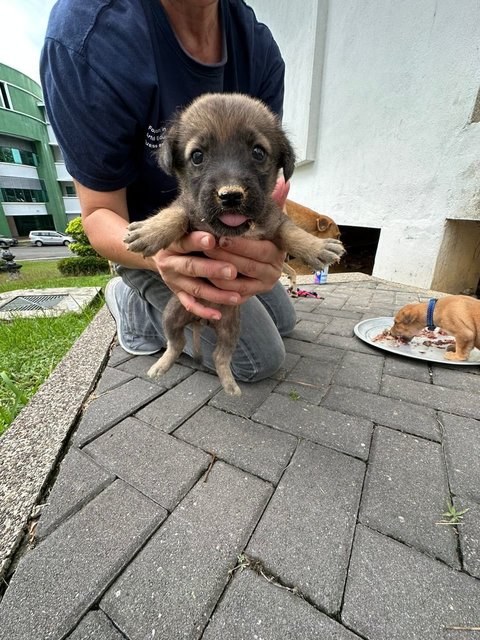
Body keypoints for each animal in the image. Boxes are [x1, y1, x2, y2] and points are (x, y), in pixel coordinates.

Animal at [124, 93, 344, 396]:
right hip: (172, 313)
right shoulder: (190, 210)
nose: (230, 196)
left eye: (258, 152)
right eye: (197, 156)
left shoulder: (275, 222)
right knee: (175, 344)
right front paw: (151, 230)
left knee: (219, 356)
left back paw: (229, 384)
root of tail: (202, 320)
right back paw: (161, 365)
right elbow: (175, 213)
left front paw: (318, 248)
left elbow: (294, 234)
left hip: (231, 328)